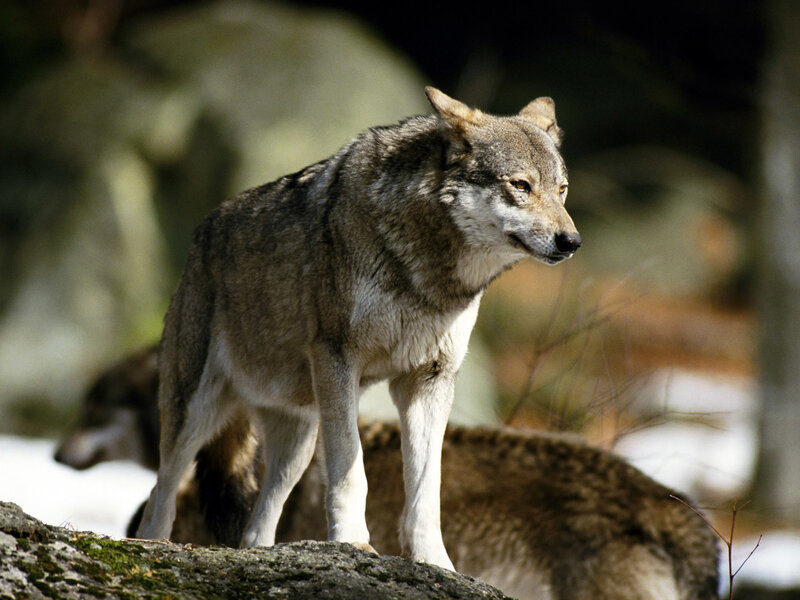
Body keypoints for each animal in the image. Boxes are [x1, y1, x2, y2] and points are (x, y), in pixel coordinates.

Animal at [135, 87, 581, 569]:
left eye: (561, 190)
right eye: (520, 185)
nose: (572, 242)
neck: (428, 274)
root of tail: (201, 233)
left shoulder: (428, 381)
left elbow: (427, 490)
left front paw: (435, 563)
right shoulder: (338, 359)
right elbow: (352, 470)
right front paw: (351, 541)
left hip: (299, 440)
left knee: (258, 521)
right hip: (196, 412)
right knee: (161, 490)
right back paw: (153, 547)